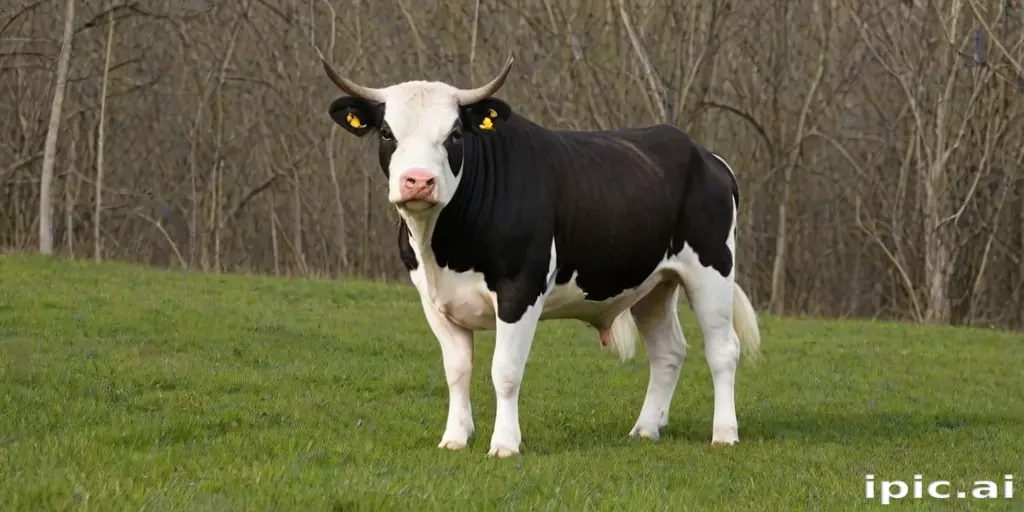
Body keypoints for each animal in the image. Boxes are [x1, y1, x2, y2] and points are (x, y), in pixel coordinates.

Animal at [318, 51, 762, 458]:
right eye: (386, 133)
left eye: (455, 134)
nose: (418, 181)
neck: (444, 248)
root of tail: (705, 155)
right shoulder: (433, 300)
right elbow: (457, 371)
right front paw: (455, 438)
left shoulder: (520, 288)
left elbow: (505, 371)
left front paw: (504, 444)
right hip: (652, 285)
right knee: (668, 351)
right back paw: (645, 429)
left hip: (712, 269)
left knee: (723, 350)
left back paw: (724, 434)